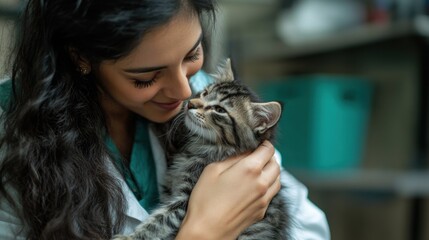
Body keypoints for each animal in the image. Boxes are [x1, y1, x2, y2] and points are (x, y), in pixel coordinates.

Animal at [112, 59, 290, 239]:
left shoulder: (183, 201)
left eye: (219, 110)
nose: (191, 103)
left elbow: (161, 220)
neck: (201, 148)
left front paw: (131, 237)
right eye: (205, 93)